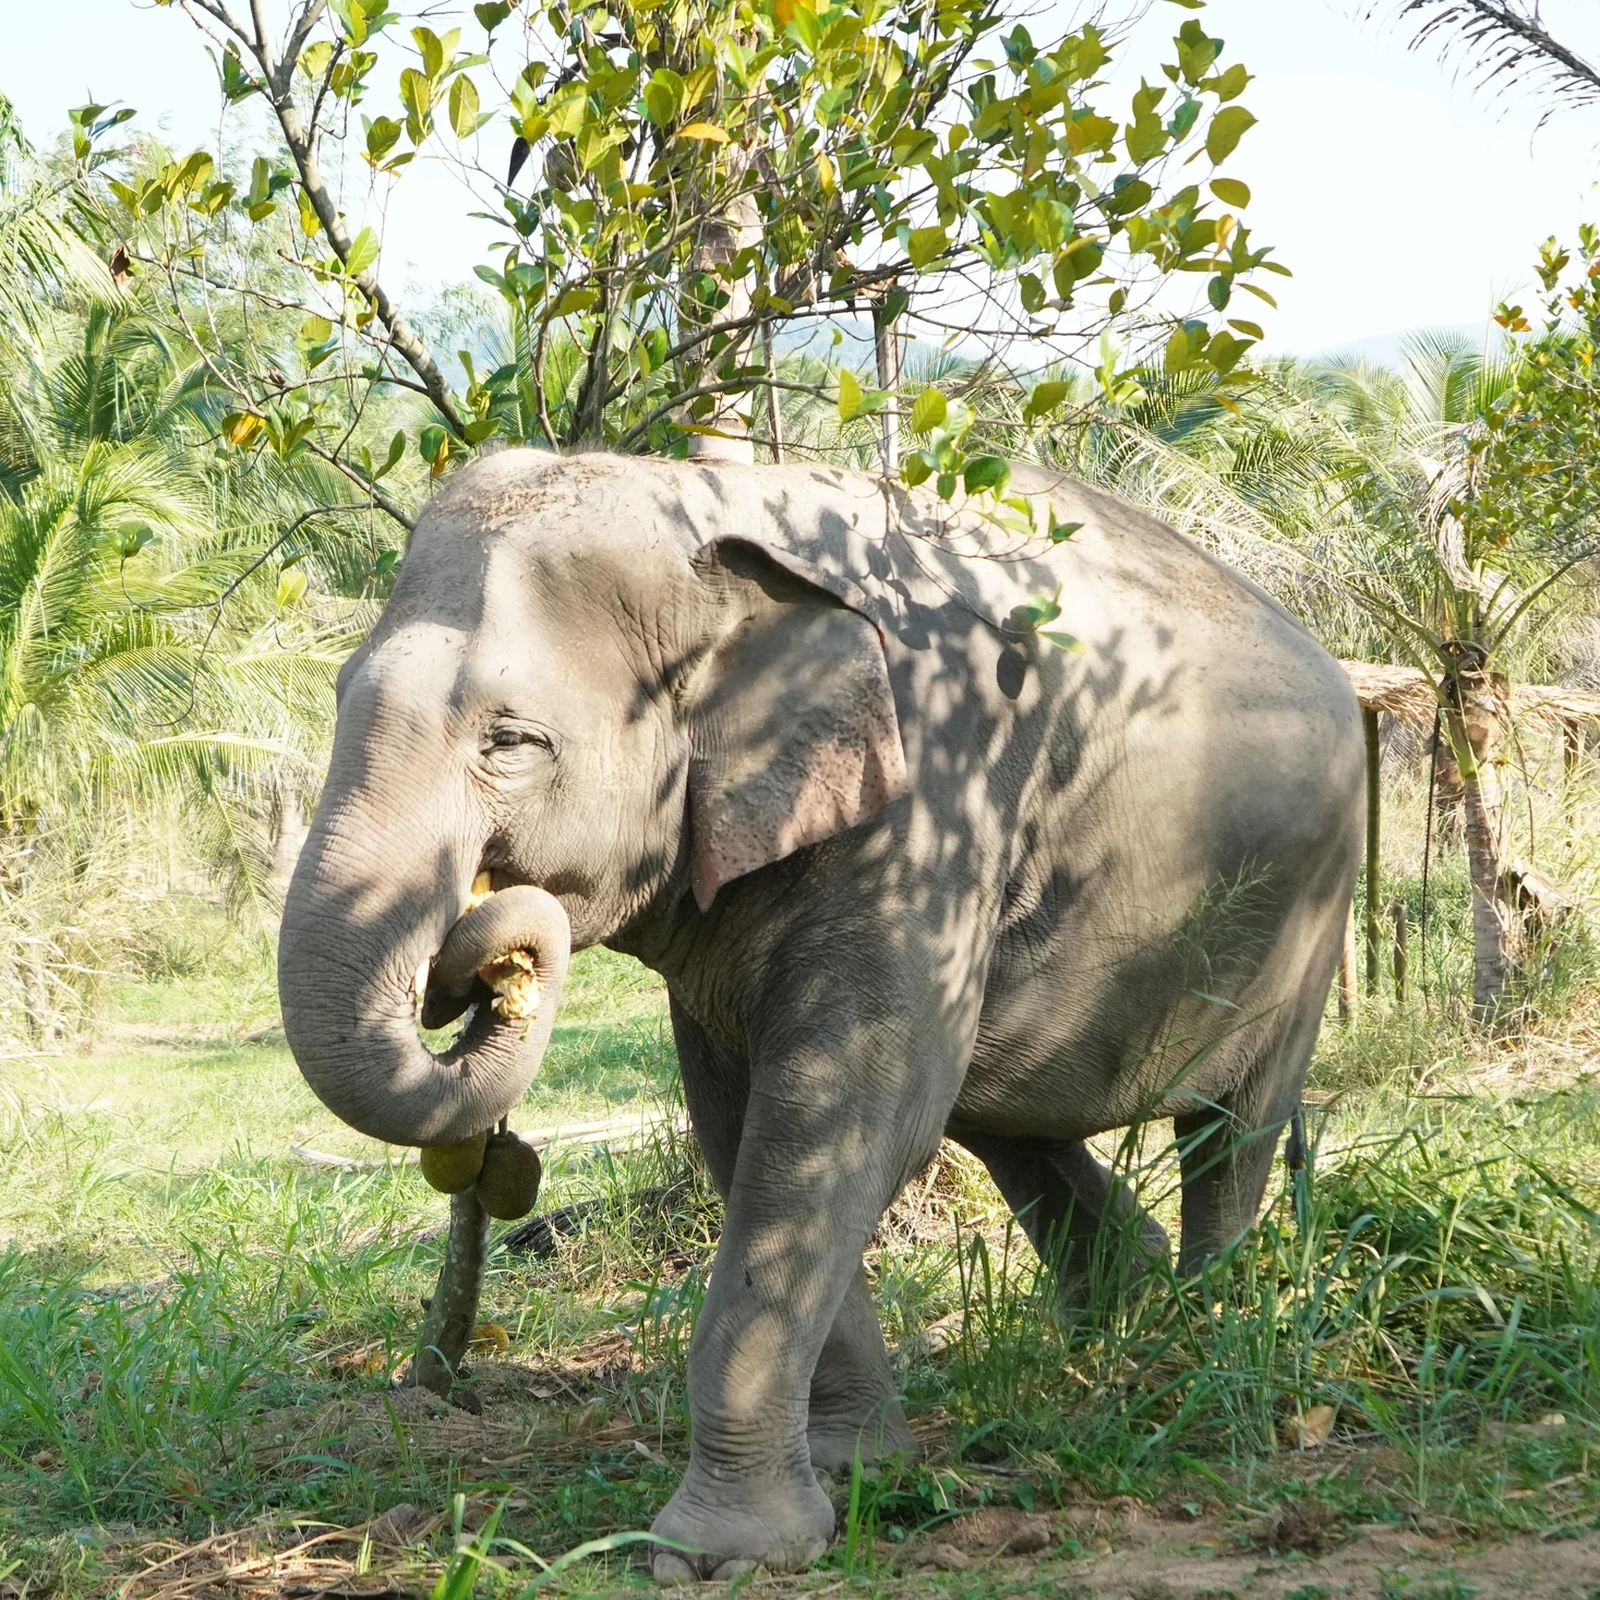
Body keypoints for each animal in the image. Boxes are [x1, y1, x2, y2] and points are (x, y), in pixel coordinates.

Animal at [278, 448, 1363, 1579]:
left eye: (513, 740)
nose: (474, 964)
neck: (706, 504)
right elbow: (754, 1123)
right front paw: (860, 1469)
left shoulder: (933, 802)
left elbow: (836, 1114)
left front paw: (720, 1556)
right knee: (1011, 1121)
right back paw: (1131, 1323)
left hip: (1311, 900)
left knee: (1229, 1134)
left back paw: (1198, 1351)